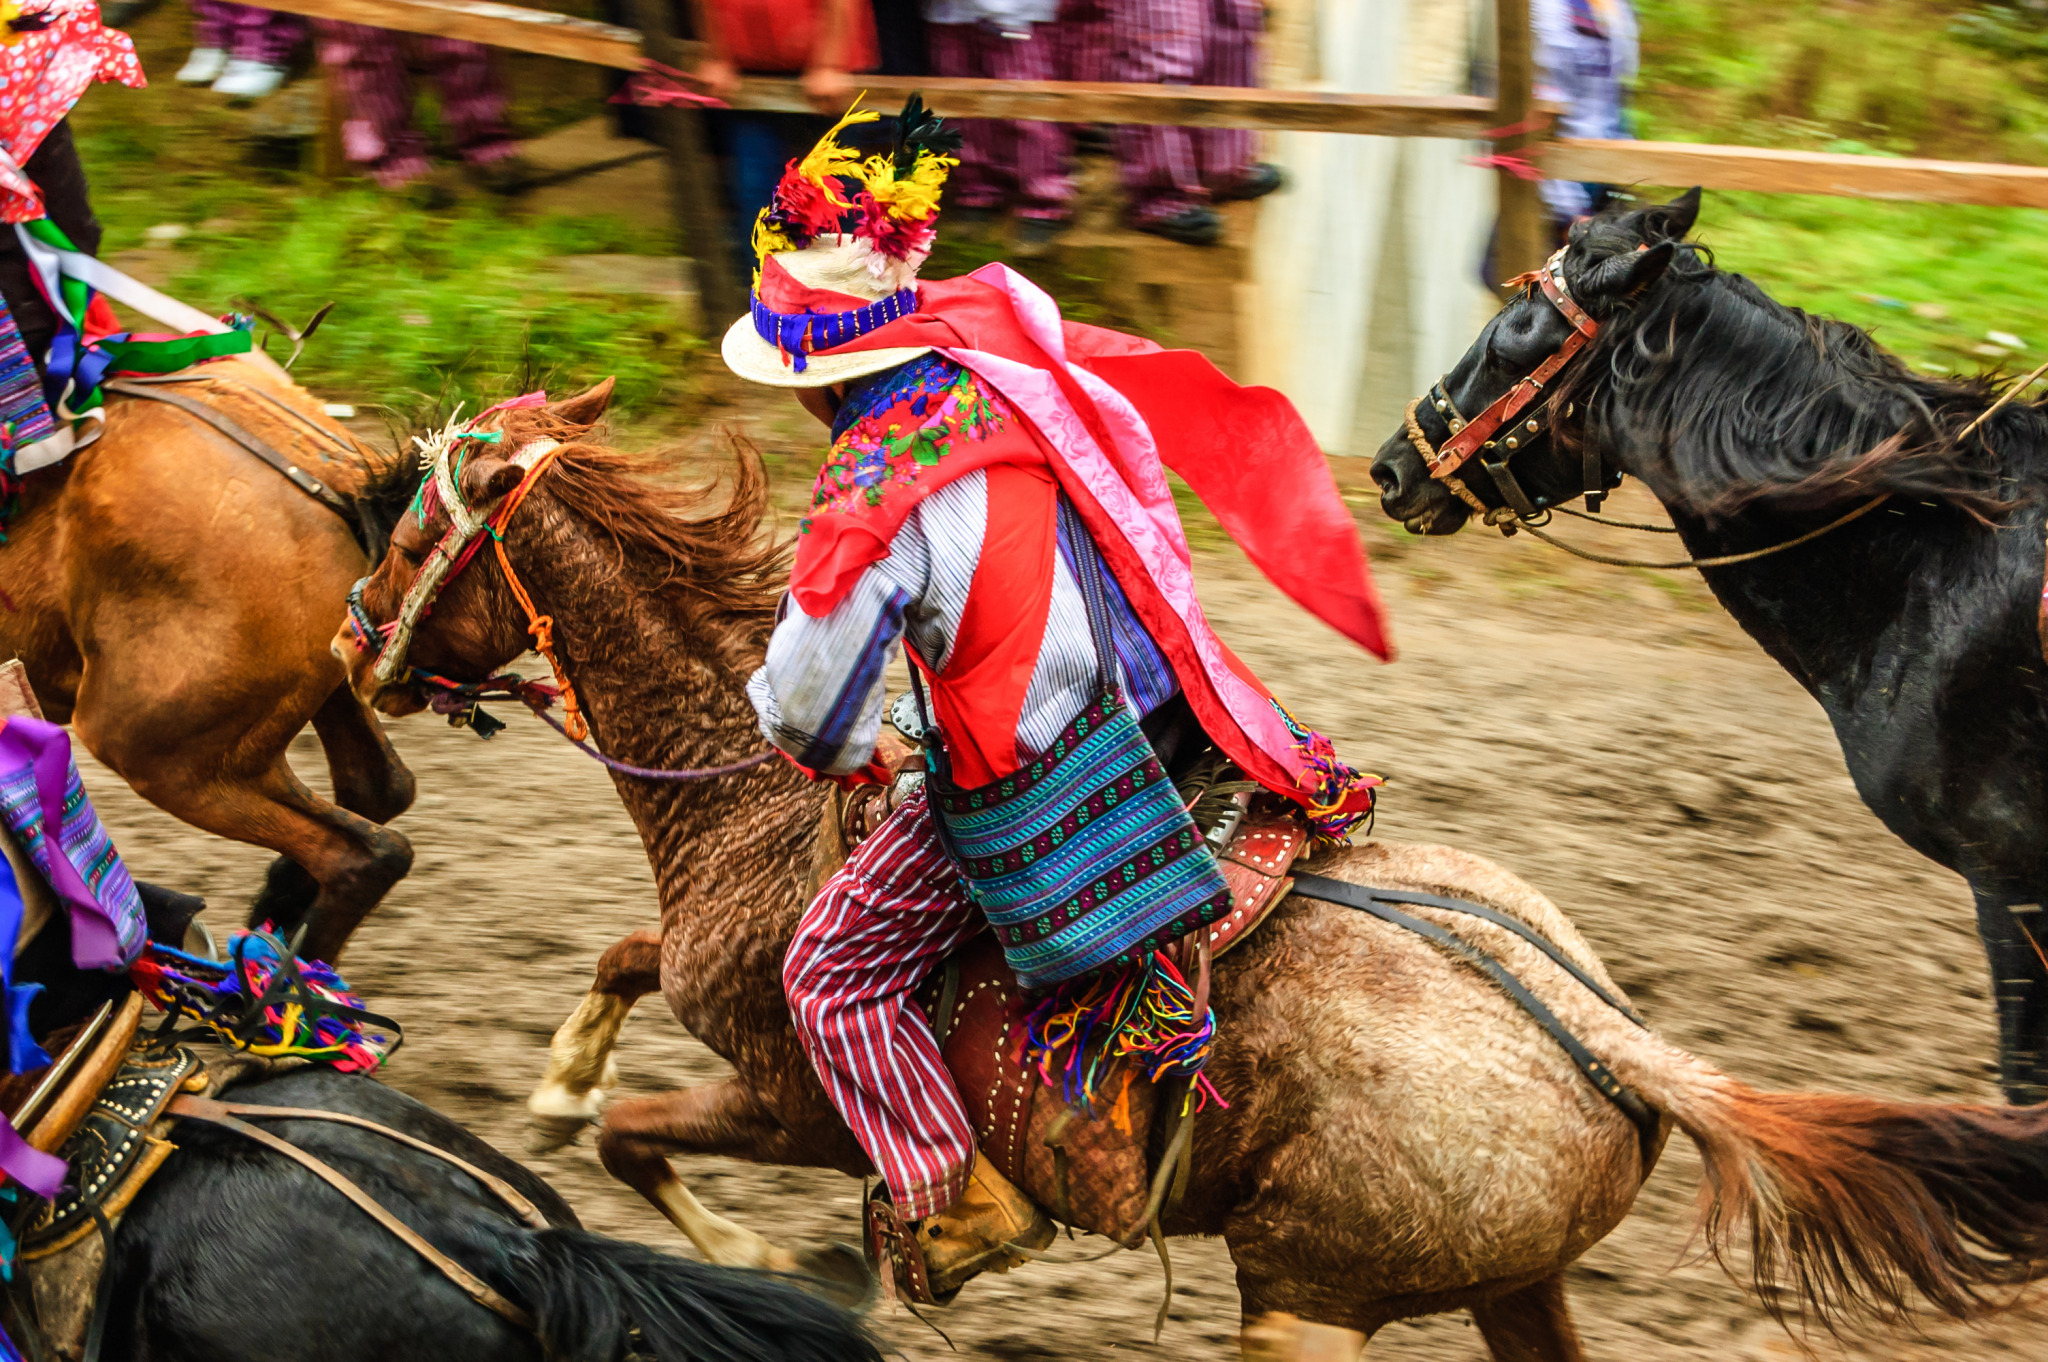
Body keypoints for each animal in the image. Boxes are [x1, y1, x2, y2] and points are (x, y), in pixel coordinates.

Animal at [348, 385, 2048, 1359]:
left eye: (409, 534)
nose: (351, 646)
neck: (760, 808)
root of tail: (1603, 1034)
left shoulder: (796, 1096)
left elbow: (645, 1137)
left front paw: (779, 1251)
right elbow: (620, 967)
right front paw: (556, 1076)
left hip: (1308, 1299)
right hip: (1513, 1286)